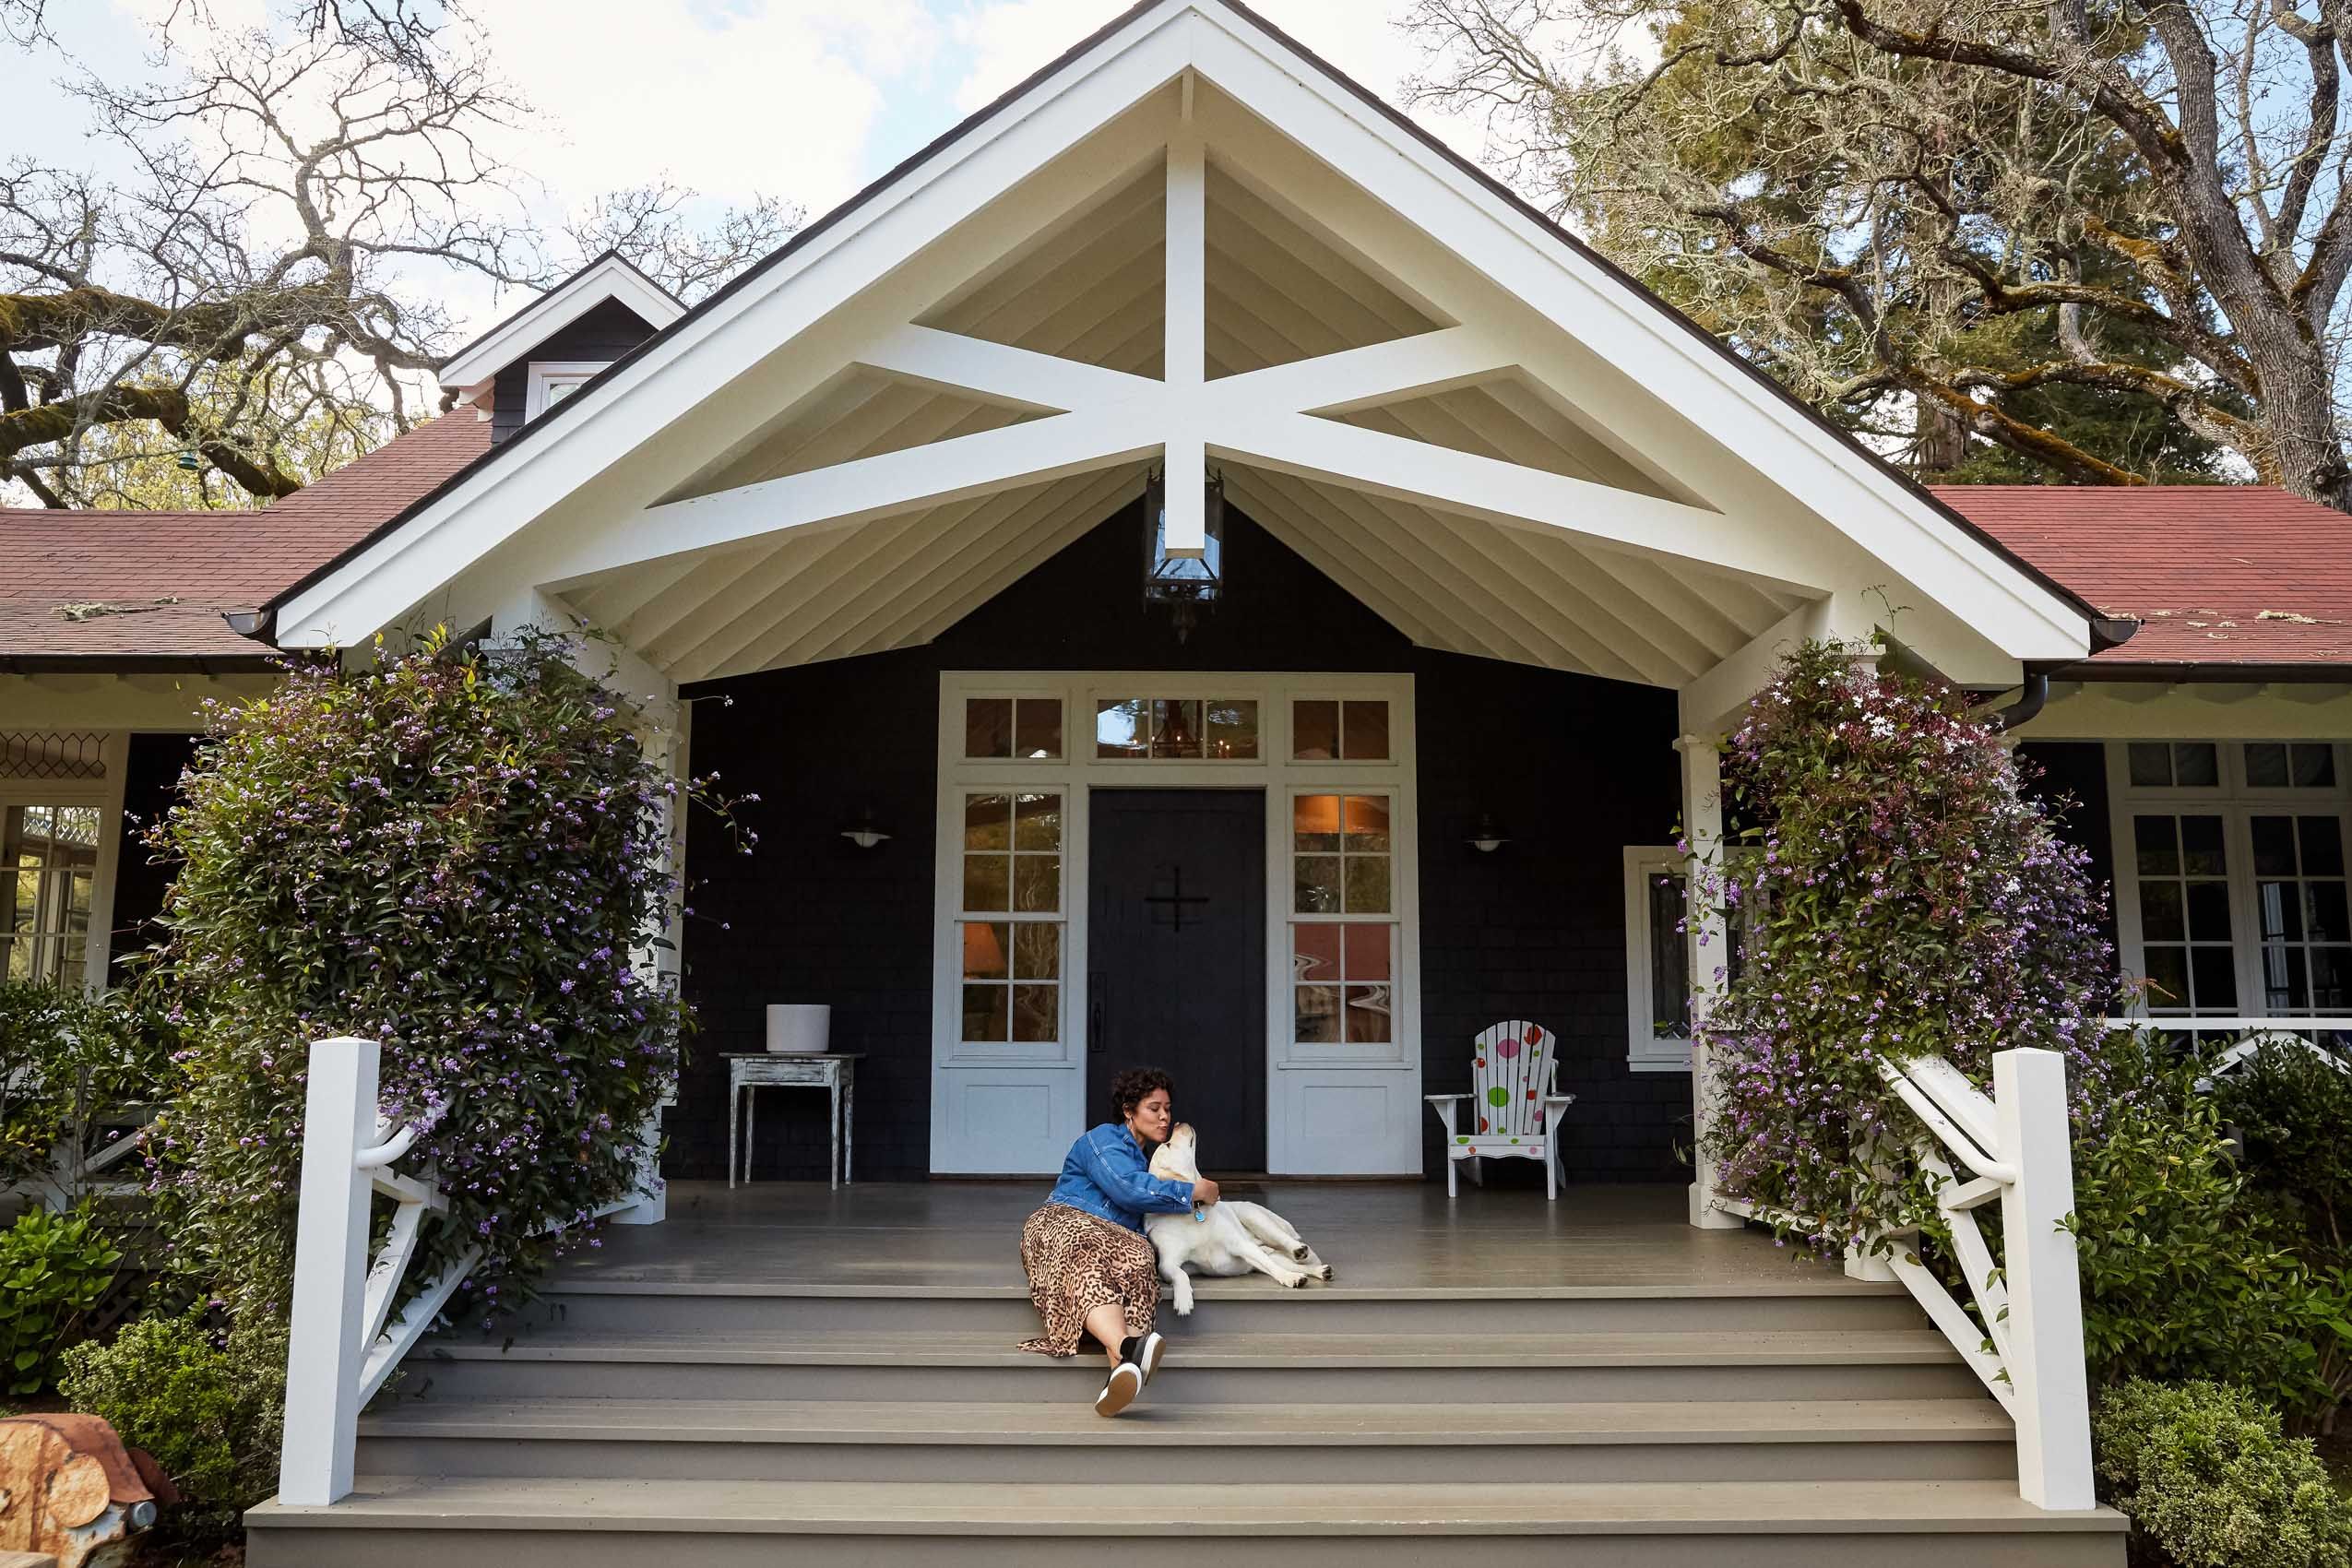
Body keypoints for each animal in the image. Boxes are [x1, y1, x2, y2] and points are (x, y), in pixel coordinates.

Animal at [1143, 1123, 1336, 1316]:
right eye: (1168, 1145)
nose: (1177, 1123)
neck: (1193, 1213)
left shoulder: (1241, 1245)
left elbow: (1272, 1267)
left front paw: (1289, 1278)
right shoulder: (1167, 1263)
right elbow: (1180, 1274)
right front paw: (1183, 1299)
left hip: (1255, 1218)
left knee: (1284, 1244)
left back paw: (1300, 1253)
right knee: (1293, 1265)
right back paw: (1319, 1271)